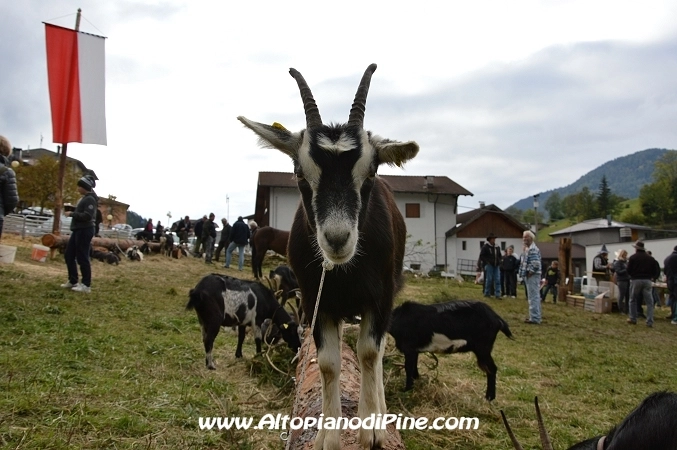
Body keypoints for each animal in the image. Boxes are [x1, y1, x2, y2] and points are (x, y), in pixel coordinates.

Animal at [238, 64, 418, 450]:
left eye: (372, 170)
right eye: (299, 172)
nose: (337, 239)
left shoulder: (379, 297)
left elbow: (369, 353)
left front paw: (371, 430)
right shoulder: (315, 299)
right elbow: (327, 363)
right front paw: (327, 435)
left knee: (378, 350)